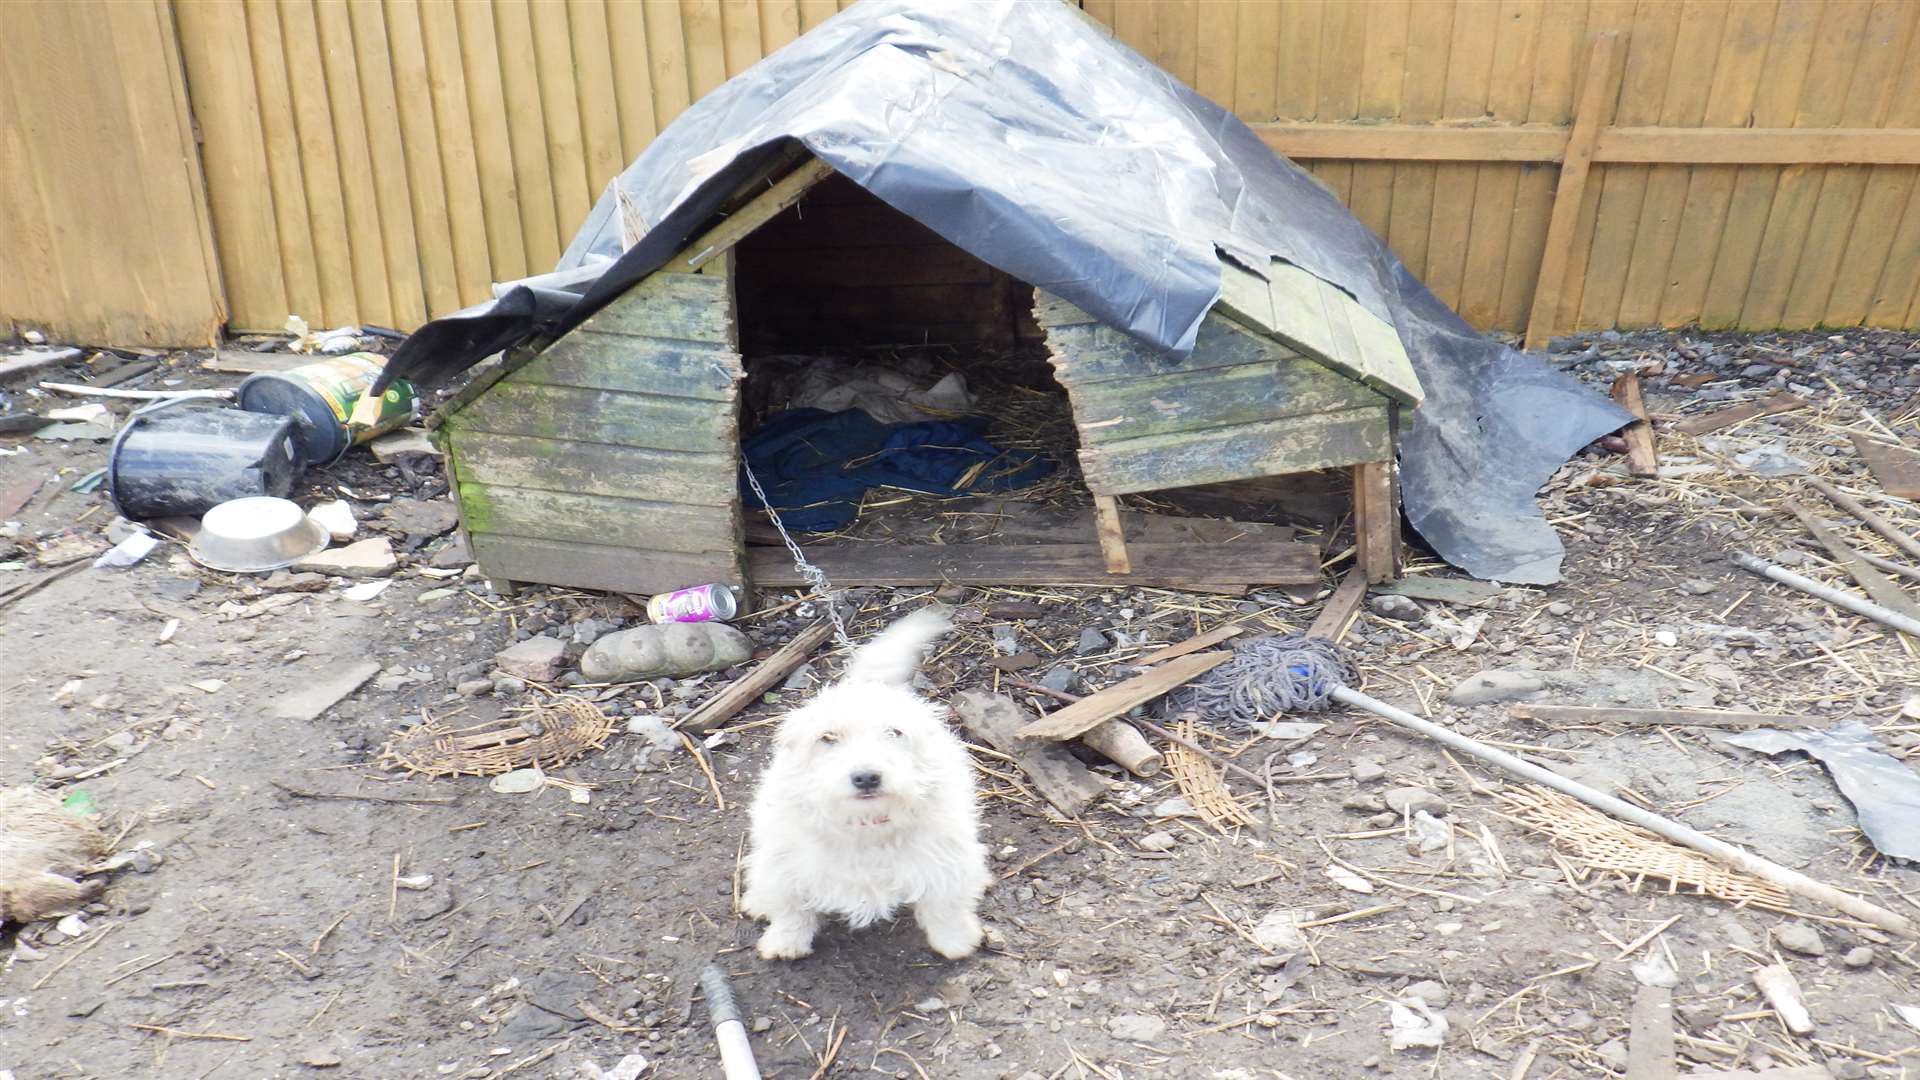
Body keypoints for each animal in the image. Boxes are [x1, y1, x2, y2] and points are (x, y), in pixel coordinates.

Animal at [741, 607, 990, 957]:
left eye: (895, 732)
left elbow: (946, 906)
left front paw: (955, 941)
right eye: (827, 738)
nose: (866, 777)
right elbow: (792, 908)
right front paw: (785, 942)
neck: (867, 826)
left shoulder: (943, 859)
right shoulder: (788, 865)